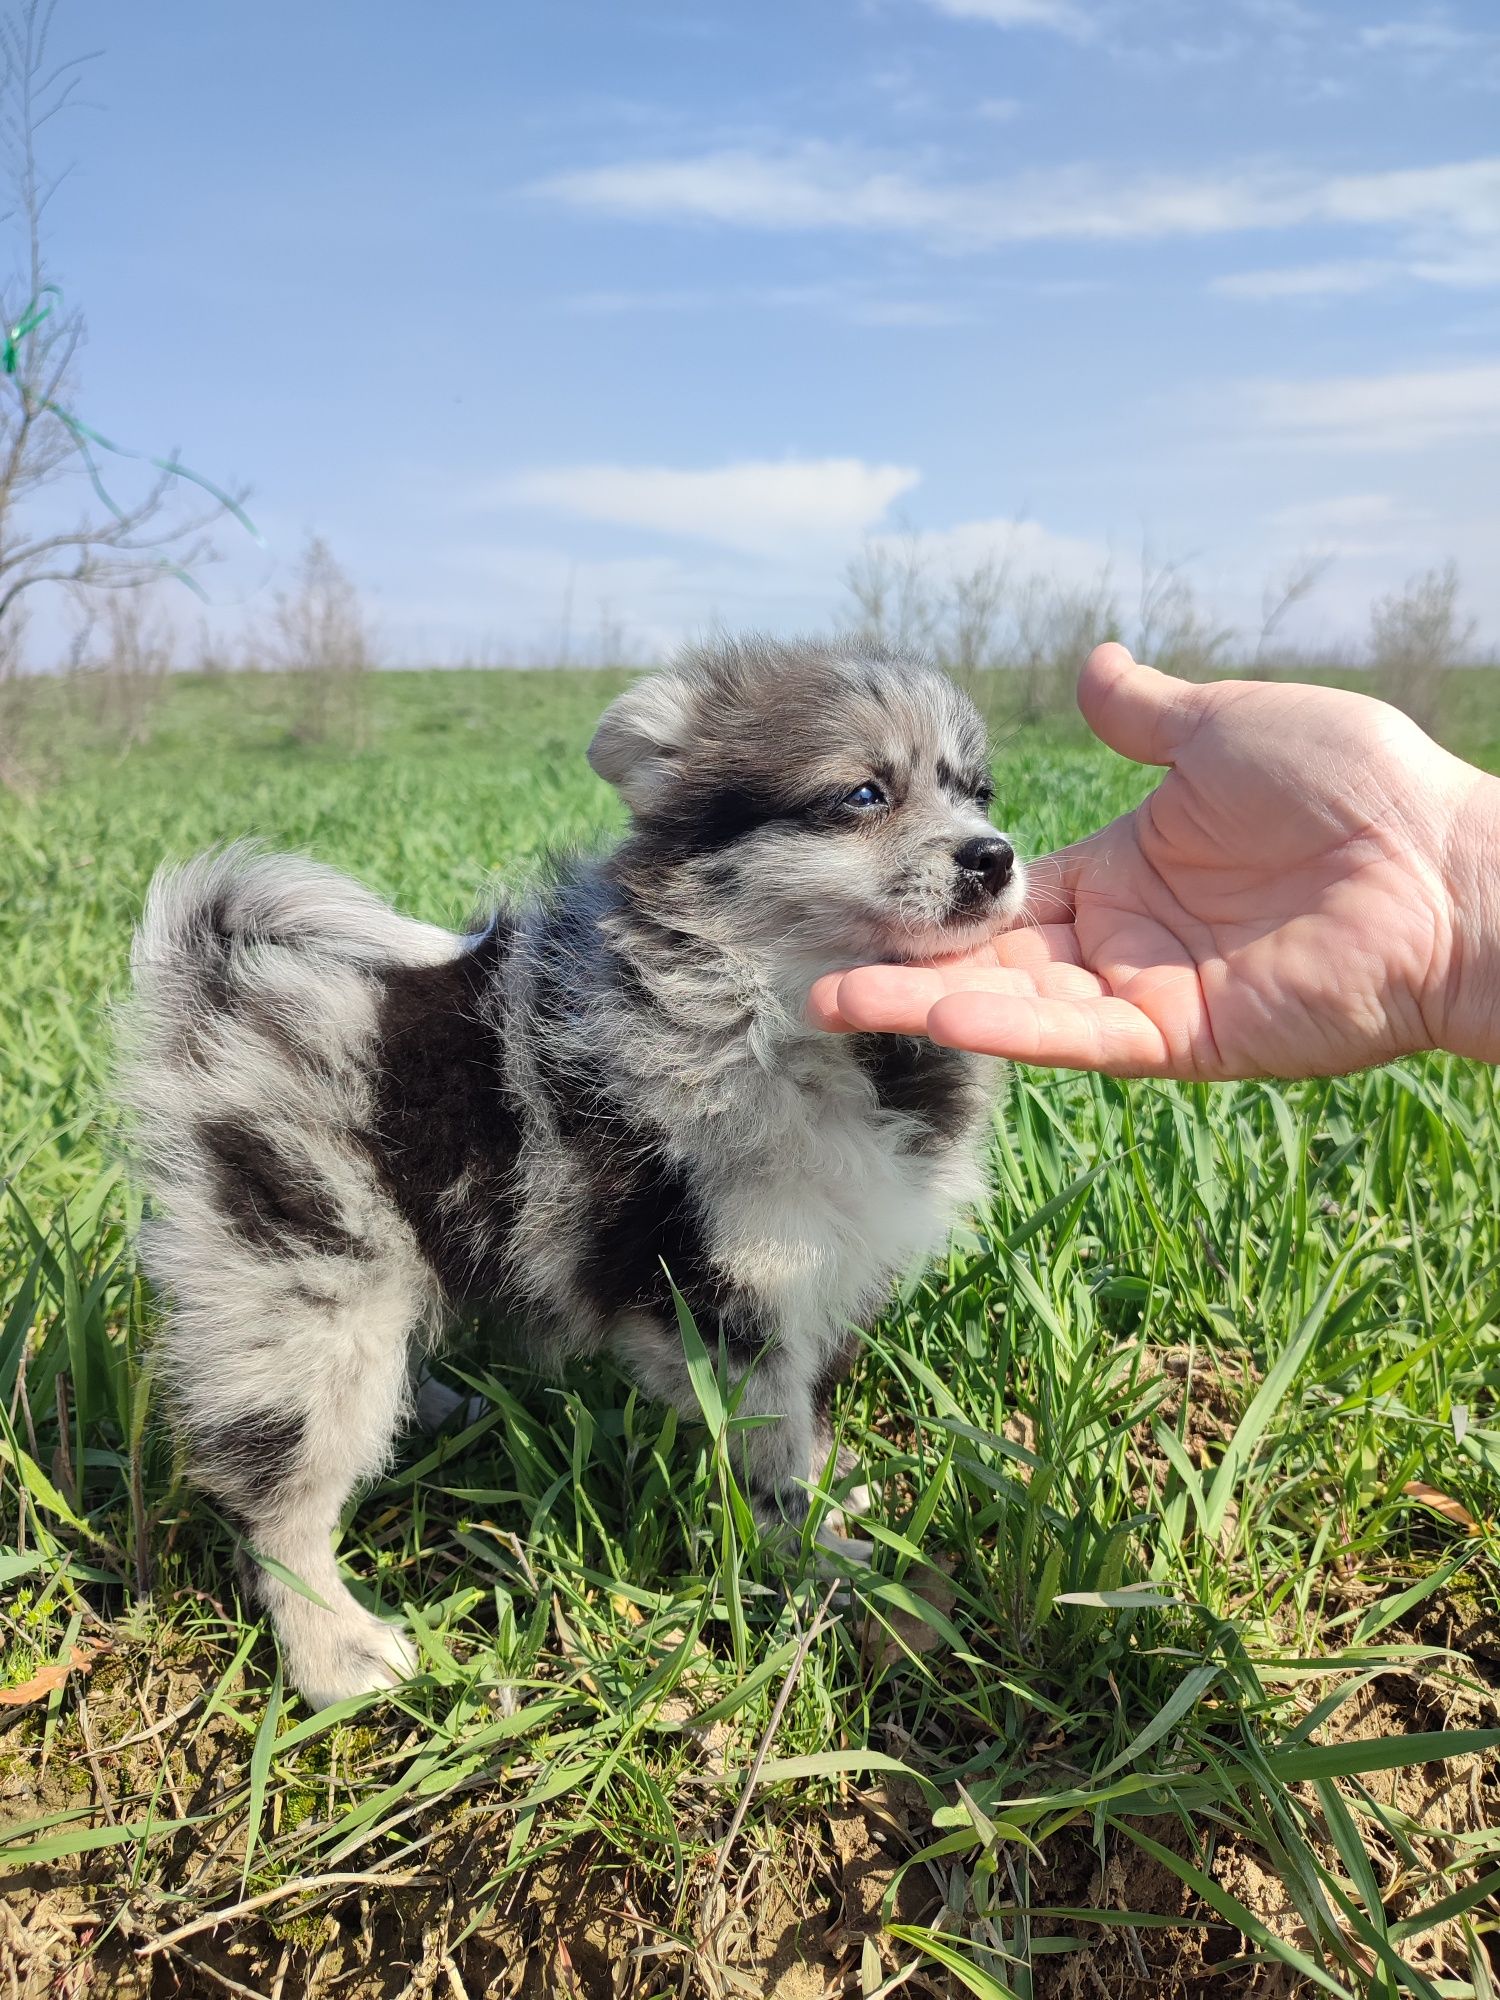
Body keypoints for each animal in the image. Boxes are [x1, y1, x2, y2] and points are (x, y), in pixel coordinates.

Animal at [126, 636, 1024, 1704]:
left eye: (977, 791)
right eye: (862, 794)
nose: (996, 856)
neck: (779, 1014)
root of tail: (217, 985)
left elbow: (806, 1419)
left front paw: (837, 1495)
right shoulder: (722, 1294)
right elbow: (772, 1454)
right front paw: (826, 1561)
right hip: (309, 1283)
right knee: (278, 1495)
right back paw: (334, 1651)